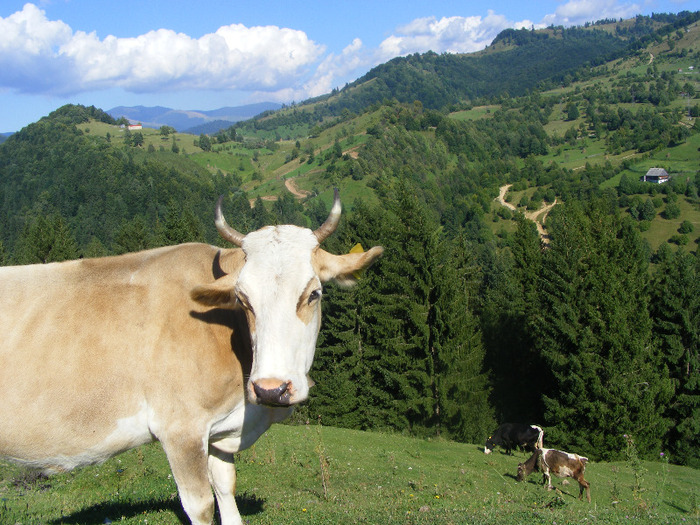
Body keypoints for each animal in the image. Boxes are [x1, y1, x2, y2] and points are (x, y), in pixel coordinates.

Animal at [0, 189, 382, 524]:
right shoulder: (180, 429)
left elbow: (225, 488)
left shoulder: (217, 432)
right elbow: (201, 504)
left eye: (314, 293)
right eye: (242, 299)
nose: (271, 389)